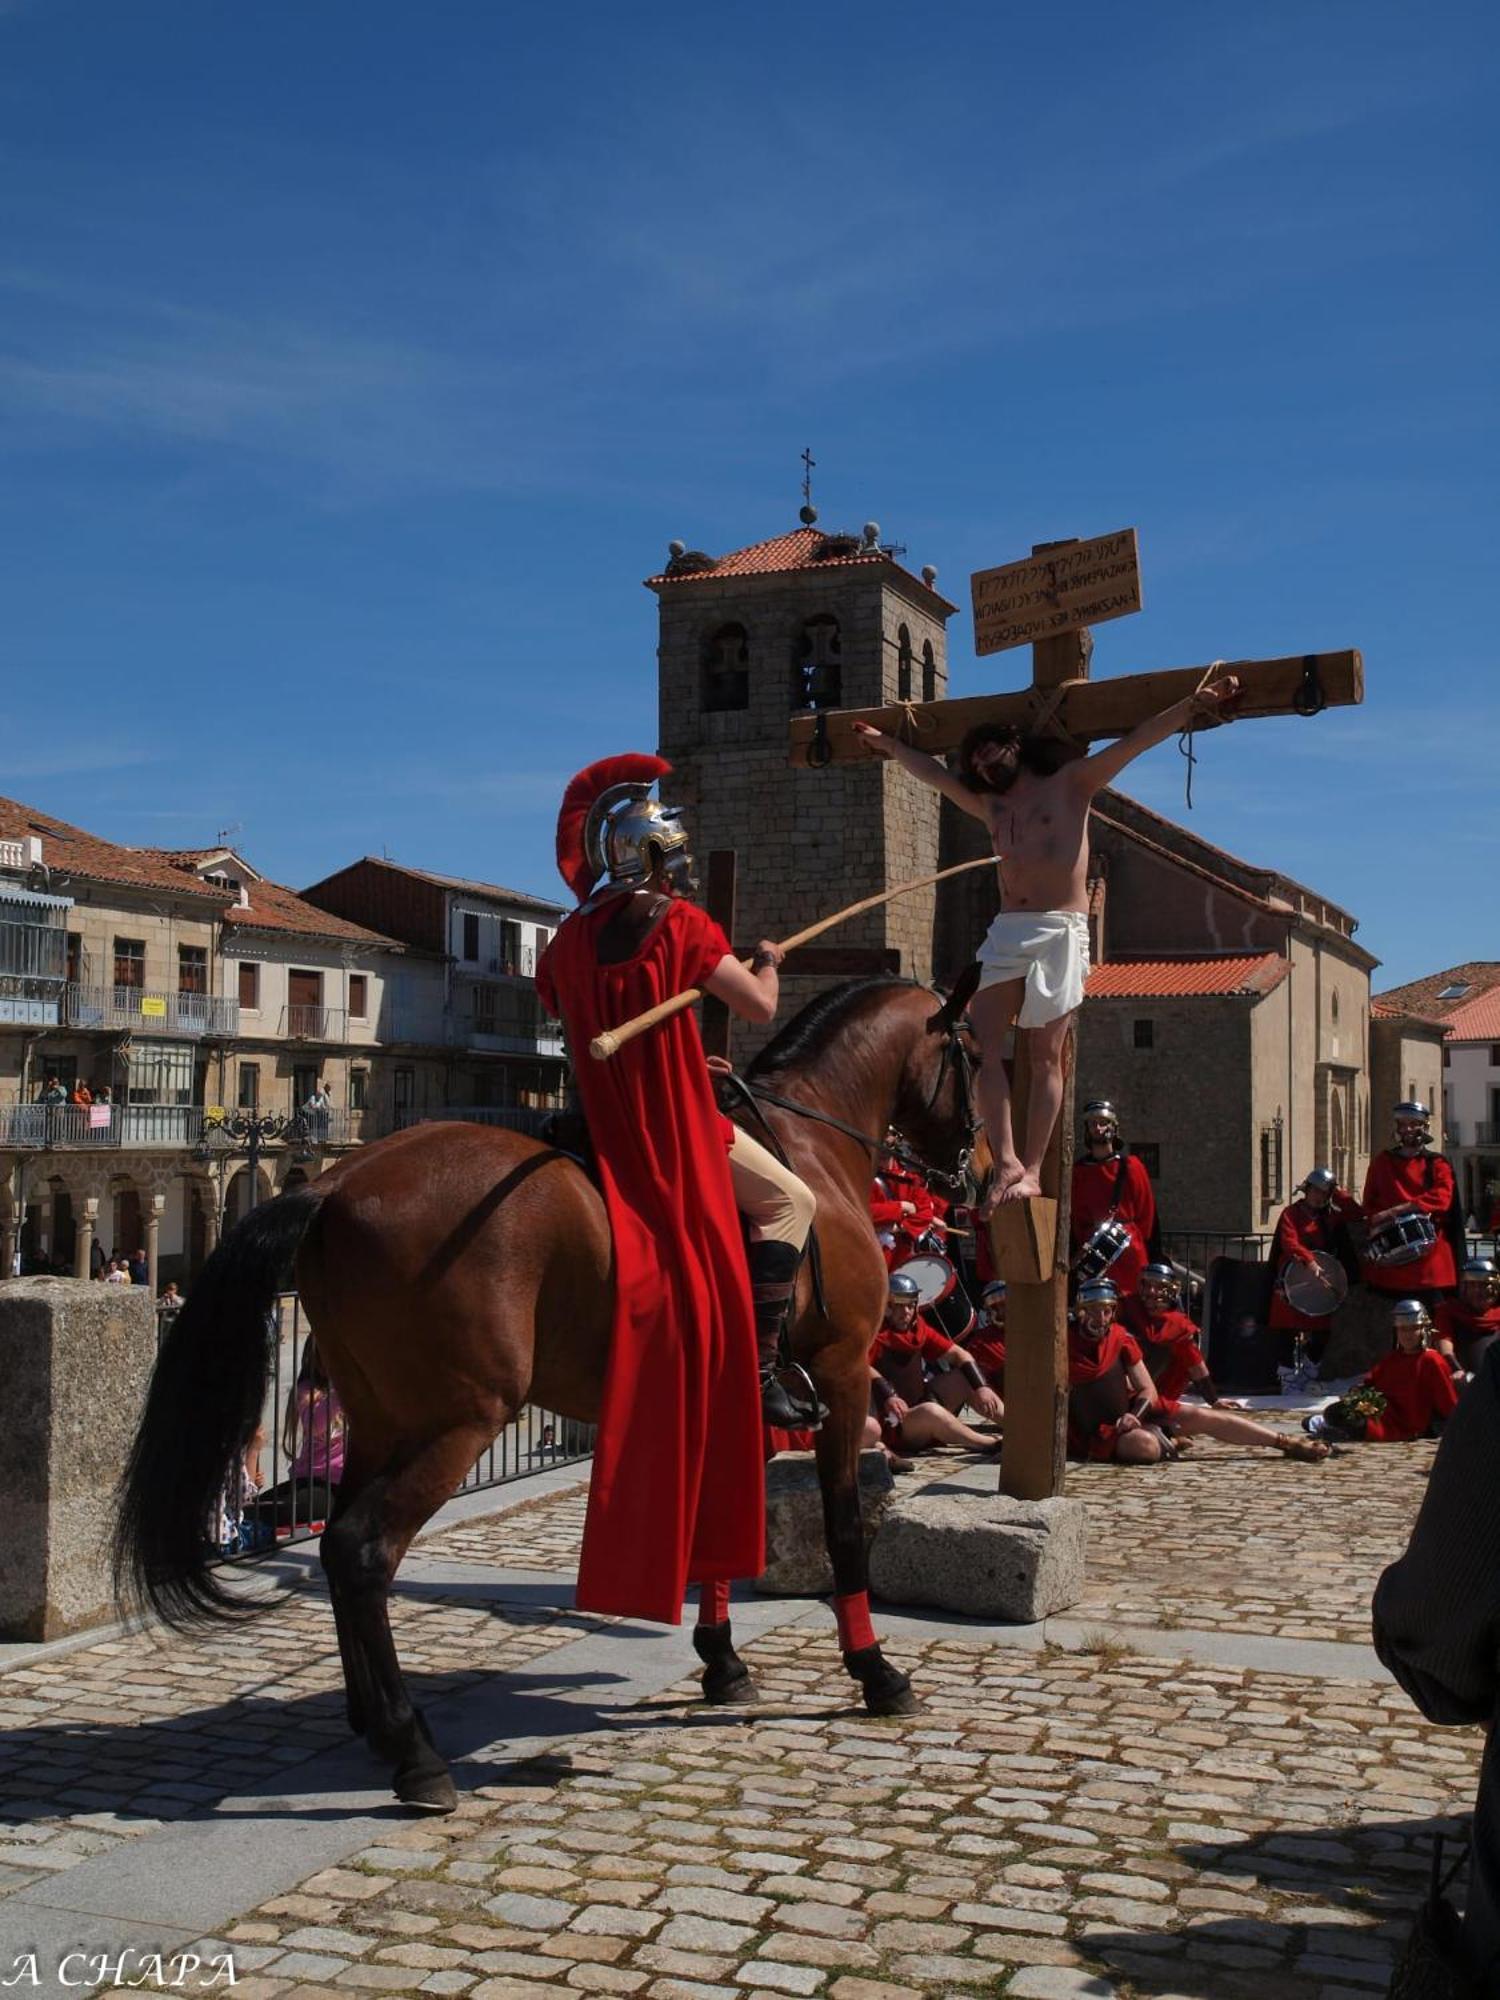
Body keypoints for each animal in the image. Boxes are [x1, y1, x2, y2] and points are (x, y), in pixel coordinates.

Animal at [120, 972, 988, 1816]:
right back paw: (414, 1752)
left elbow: (720, 1532)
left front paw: (722, 1662)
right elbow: (842, 1528)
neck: (811, 1142)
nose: (978, 1173)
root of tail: (335, 1186)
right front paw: (875, 1671)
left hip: (377, 1417)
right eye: (971, 1053)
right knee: (361, 1550)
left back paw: (372, 1719)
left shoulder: (728, 1392)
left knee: (339, 1545)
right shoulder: (843, 1370)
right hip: (459, 1421)